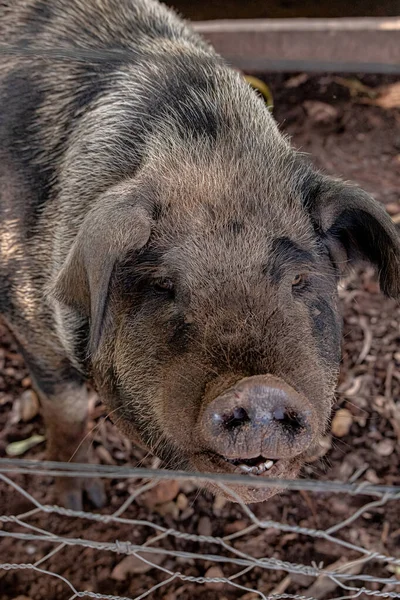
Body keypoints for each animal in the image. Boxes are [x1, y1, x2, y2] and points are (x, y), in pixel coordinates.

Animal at [0, 0, 400, 508]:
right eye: (164, 286)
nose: (261, 390)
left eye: (298, 281)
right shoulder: (25, 313)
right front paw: (81, 504)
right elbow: (65, 407)